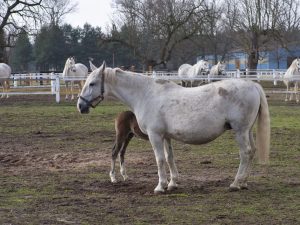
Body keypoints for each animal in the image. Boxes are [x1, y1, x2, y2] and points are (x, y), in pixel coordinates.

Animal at [77, 61, 270, 193]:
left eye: (92, 83)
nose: (80, 106)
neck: (146, 95)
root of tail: (252, 84)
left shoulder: (155, 136)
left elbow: (160, 159)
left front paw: (160, 186)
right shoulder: (165, 136)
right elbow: (170, 158)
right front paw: (172, 183)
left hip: (240, 131)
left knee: (245, 153)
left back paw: (236, 183)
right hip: (247, 131)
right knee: (252, 151)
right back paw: (244, 182)